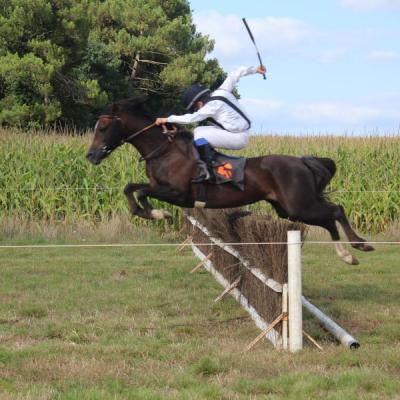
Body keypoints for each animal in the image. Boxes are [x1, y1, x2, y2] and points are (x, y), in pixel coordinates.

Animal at [86, 97, 374, 266]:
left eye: (103, 127)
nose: (90, 156)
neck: (163, 150)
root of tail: (301, 162)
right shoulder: (163, 189)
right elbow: (132, 189)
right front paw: (155, 213)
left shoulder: (177, 193)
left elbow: (139, 191)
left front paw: (158, 213)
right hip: (291, 209)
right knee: (328, 219)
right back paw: (347, 255)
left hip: (299, 205)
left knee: (336, 211)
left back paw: (359, 243)